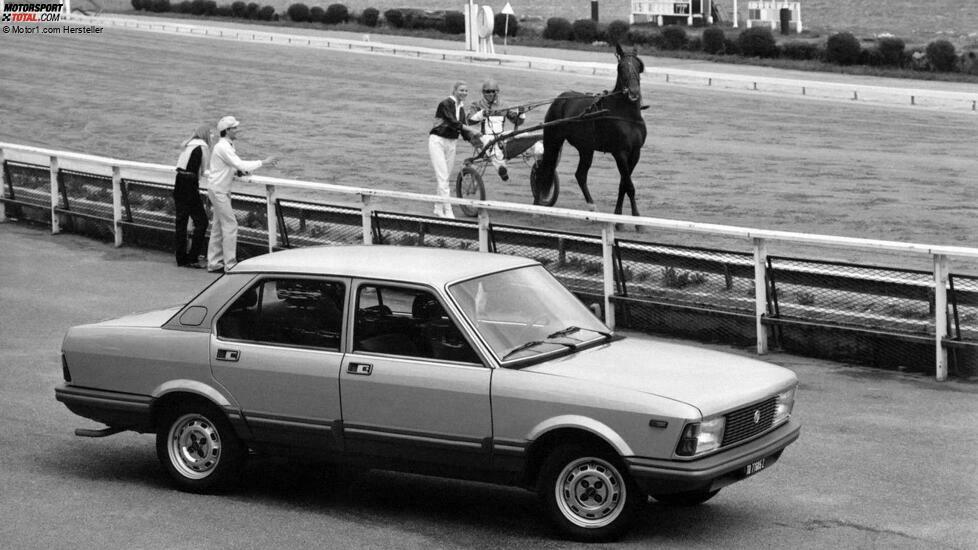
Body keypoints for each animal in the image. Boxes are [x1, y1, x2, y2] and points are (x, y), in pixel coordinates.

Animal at [528, 41, 644, 226]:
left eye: (638, 66)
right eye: (621, 67)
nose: (633, 92)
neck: (626, 114)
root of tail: (561, 98)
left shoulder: (635, 153)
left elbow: (624, 184)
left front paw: (619, 218)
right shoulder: (620, 152)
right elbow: (629, 185)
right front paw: (637, 220)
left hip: (586, 148)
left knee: (580, 175)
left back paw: (592, 207)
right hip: (552, 140)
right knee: (545, 169)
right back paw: (536, 208)